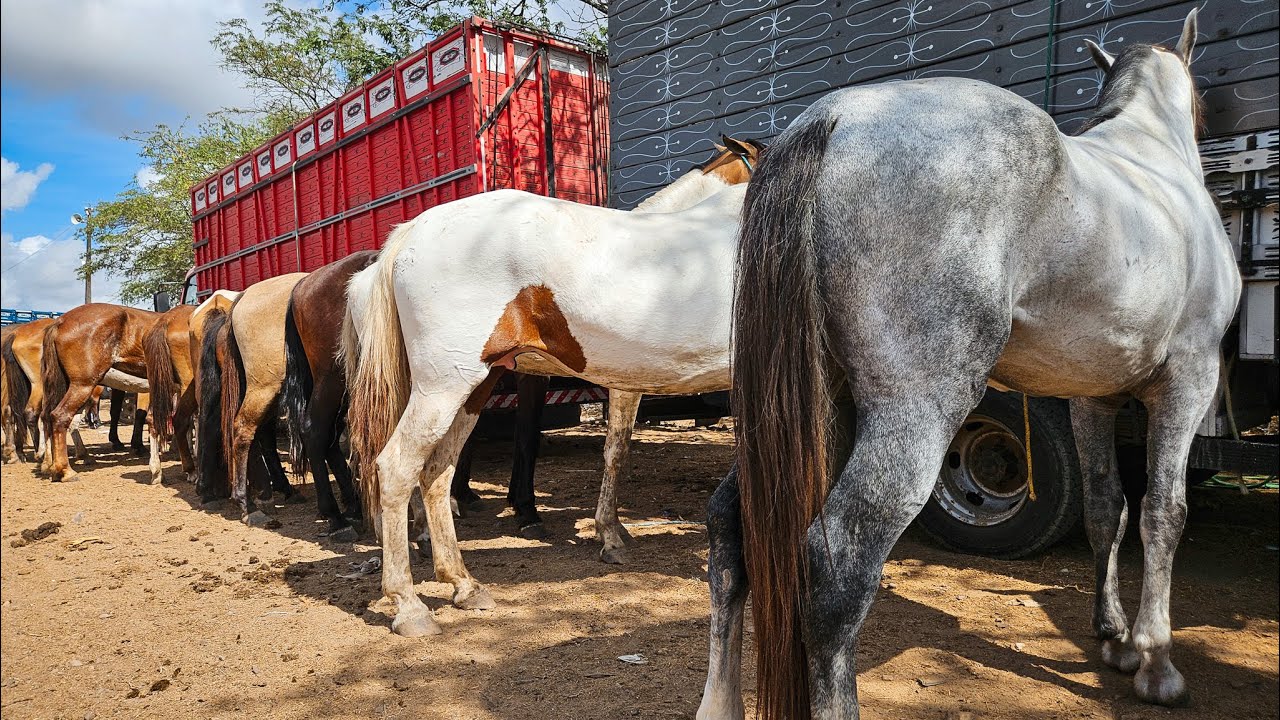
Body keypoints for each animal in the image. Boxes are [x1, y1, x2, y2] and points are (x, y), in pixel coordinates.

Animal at [39, 304, 157, 481]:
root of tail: (60, 321)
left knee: (47, 417)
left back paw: (50, 465)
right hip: (83, 386)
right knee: (60, 417)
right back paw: (66, 470)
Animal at [281, 251, 377, 541]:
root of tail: (302, 286)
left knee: (330, 438)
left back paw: (353, 505)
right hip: (333, 376)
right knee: (315, 429)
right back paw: (335, 515)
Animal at [343, 140, 754, 637]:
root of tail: (409, 233)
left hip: (472, 387)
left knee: (437, 472)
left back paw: (463, 584)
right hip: (439, 388)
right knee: (398, 468)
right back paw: (408, 604)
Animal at [706, 12, 1239, 718]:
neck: (1152, 158)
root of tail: (832, 119)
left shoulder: (1091, 398)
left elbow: (1107, 507)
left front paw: (1115, 638)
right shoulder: (1188, 381)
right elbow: (1163, 513)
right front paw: (1156, 662)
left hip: (810, 409)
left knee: (730, 528)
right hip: (916, 412)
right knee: (838, 558)